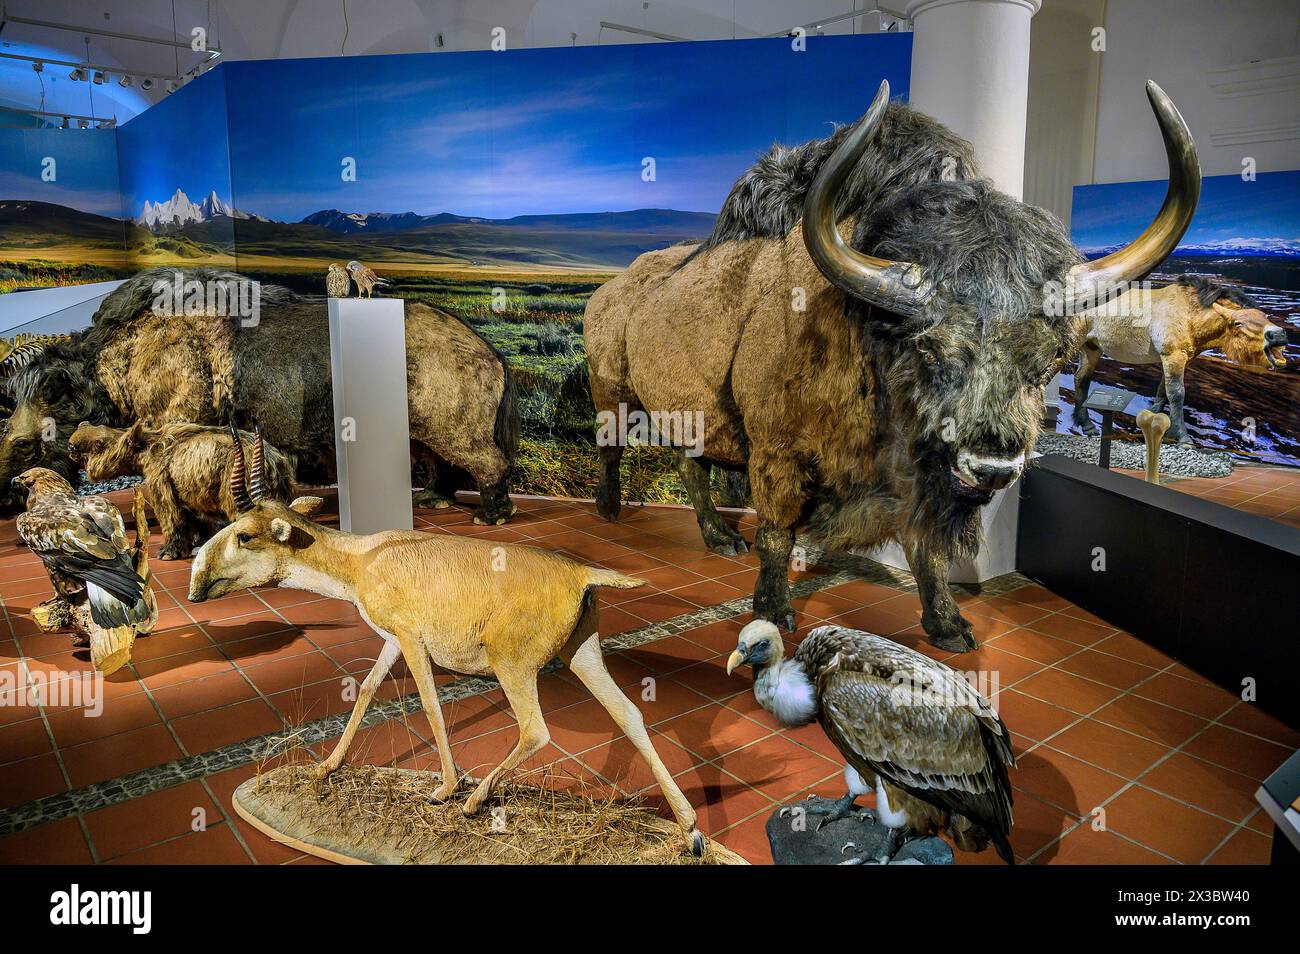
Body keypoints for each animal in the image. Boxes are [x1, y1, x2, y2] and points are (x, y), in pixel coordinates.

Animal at [0, 265, 517, 522]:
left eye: (23, 443)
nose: (7, 493)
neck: (121, 361)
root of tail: (489, 350)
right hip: (428, 430)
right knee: (443, 463)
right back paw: (434, 497)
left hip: (456, 427)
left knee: (487, 462)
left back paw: (492, 514)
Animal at [585, 82, 1201, 655]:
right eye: (929, 349)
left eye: (1049, 357)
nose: (992, 466)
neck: (862, 322)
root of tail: (611, 291)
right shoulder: (779, 453)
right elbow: (777, 534)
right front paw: (774, 611)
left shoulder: (915, 472)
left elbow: (925, 546)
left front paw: (950, 626)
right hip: (612, 392)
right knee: (614, 447)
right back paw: (612, 512)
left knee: (691, 465)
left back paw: (716, 536)